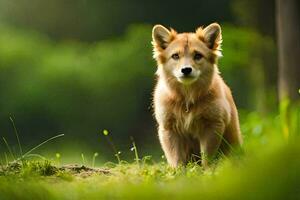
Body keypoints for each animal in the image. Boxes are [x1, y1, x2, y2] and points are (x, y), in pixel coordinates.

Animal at [152, 22, 241, 168]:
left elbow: (207, 156)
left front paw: (207, 170)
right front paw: (178, 172)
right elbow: (176, 157)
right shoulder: (168, 129)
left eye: (198, 55)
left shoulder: (212, 125)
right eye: (175, 56)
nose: (186, 70)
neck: (187, 99)